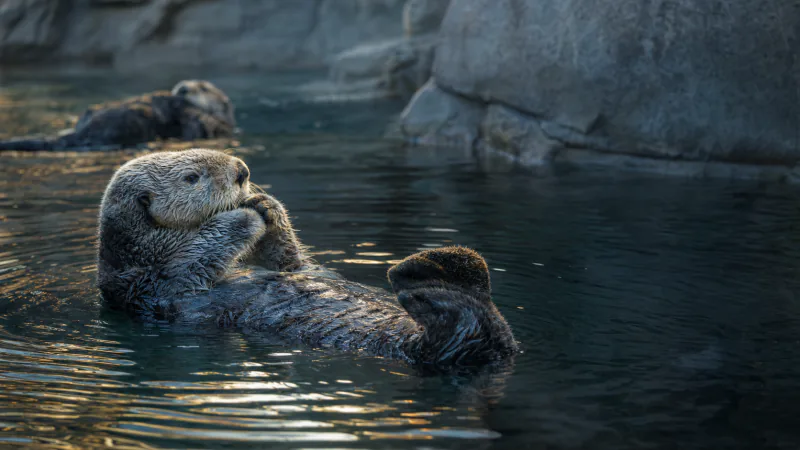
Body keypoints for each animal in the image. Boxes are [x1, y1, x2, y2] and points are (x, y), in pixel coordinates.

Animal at [97, 149, 518, 370]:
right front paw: (244, 215)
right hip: (440, 342)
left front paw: (264, 203)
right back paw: (412, 276)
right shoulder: (158, 278)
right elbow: (198, 252)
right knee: (461, 322)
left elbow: (291, 265)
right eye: (191, 177)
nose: (242, 171)